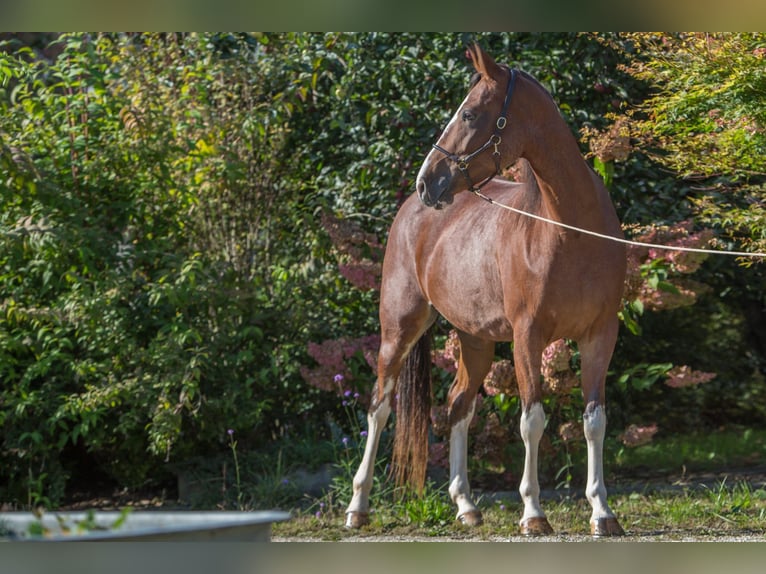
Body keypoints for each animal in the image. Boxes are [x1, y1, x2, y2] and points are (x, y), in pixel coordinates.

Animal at [344, 42, 628, 536]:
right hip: (399, 329)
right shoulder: (527, 336)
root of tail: (410, 210)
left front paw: (602, 512)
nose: (428, 181)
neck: (570, 230)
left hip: (474, 339)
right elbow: (532, 421)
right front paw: (533, 513)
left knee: (458, 405)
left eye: (471, 114)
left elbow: (595, 421)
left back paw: (466, 505)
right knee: (379, 406)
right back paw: (358, 507)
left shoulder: (600, 334)